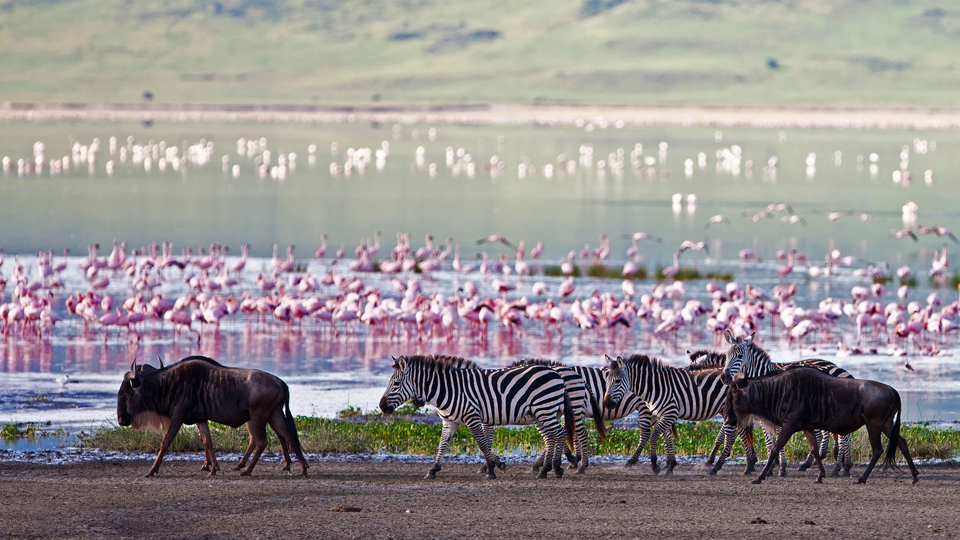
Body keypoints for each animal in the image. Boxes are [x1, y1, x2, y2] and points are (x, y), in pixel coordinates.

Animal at [380, 356, 576, 478]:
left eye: (396, 383)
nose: (382, 406)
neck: (448, 390)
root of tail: (556, 374)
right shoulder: (449, 421)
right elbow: (442, 444)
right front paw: (433, 469)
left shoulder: (472, 417)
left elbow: (482, 443)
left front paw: (490, 470)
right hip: (540, 413)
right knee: (550, 437)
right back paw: (545, 470)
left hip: (545, 408)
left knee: (560, 433)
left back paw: (556, 468)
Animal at [600, 356, 752, 474]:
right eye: (606, 381)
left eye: (617, 381)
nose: (607, 403)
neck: (655, 387)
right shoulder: (663, 414)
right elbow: (667, 438)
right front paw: (670, 465)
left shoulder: (670, 413)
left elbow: (654, 436)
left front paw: (655, 465)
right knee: (740, 432)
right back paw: (749, 465)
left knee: (732, 437)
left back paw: (719, 467)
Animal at [720, 330, 856, 476]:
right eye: (727, 355)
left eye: (739, 356)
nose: (724, 377)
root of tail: (839, 369)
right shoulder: (764, 418)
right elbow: (769, 441)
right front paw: (769, 468)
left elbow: (779, 440)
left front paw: (782, 467)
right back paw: (844, 466)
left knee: (843, 437)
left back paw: (838, 467)